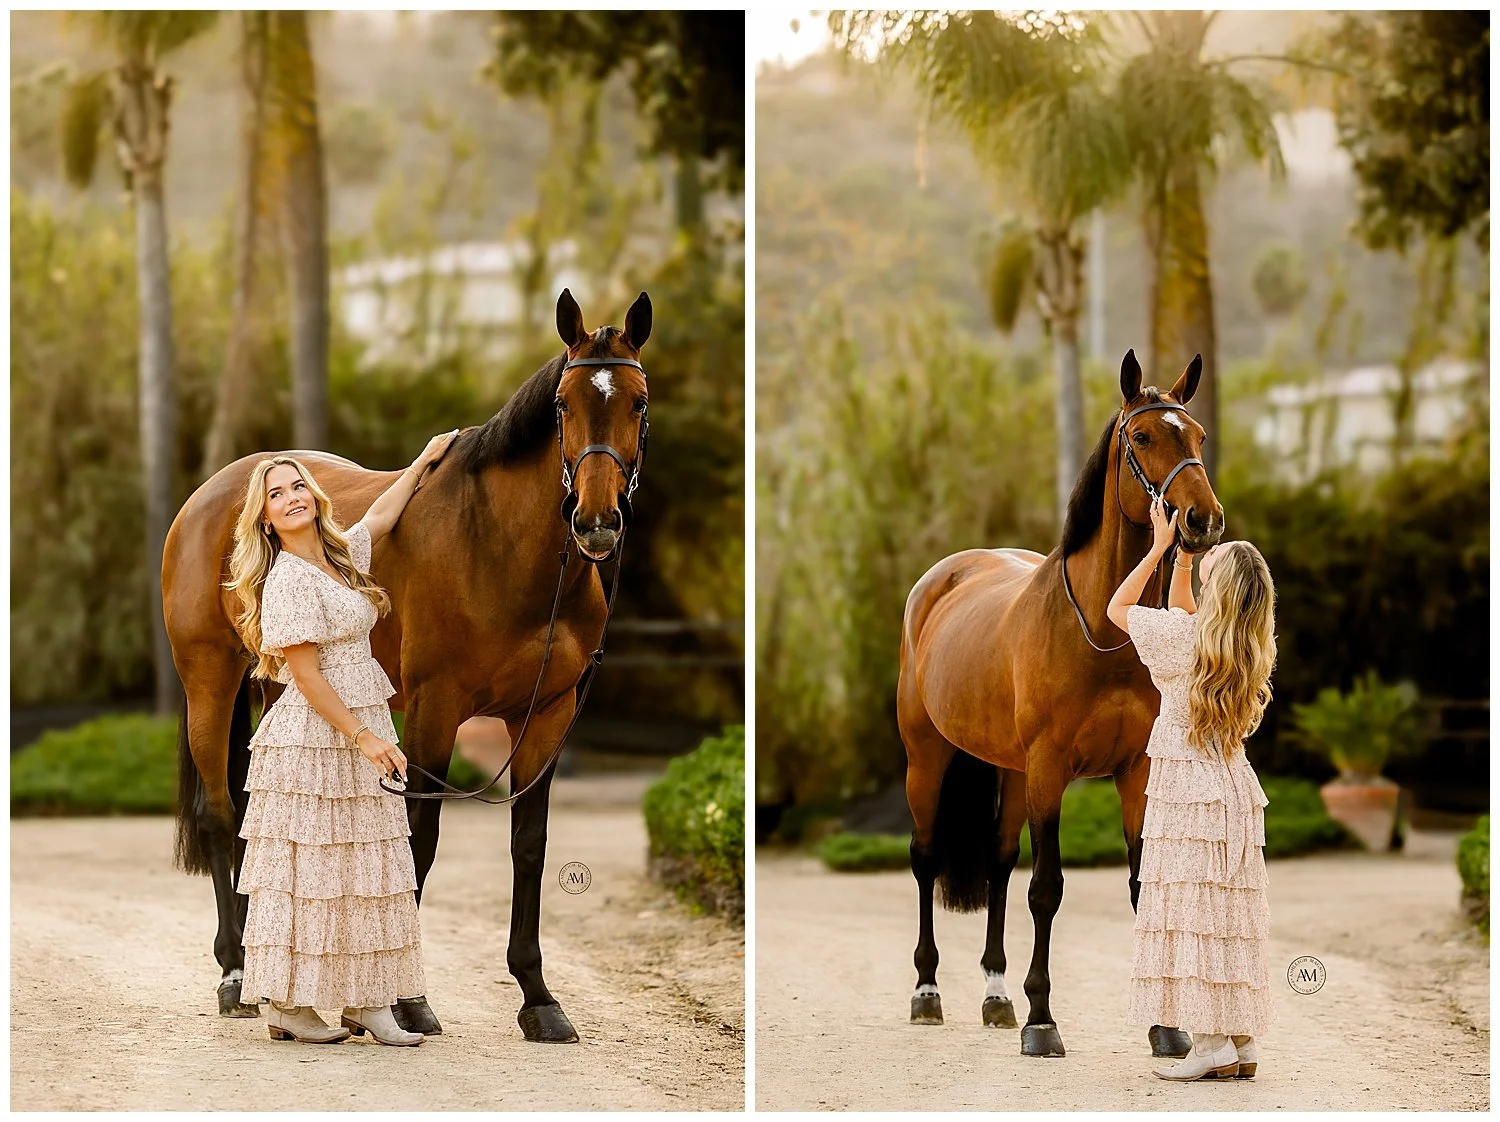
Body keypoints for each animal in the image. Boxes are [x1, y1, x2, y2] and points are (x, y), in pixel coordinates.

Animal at [163, 288, 652, 1043]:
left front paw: (538, 999)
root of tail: (208, 496)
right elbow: (421, 840)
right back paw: (237, 974)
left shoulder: (546, 714)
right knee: (219, 813)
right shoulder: (435, 708)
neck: (498, 545)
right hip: (209, 684)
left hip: (277, 688)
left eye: (637, 402)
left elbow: (530, 844)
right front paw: (405, 1002)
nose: (597, 523)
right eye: (565, 405)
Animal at [896, 350, 1225, 1058]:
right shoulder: (1050, 768)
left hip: (1012, 770)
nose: (1201, 521)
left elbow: (1139, 885)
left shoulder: (1135, 771)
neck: (1105, 628)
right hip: (927, 759)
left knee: (997, 864)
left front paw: (1164, 1027)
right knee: (926, 857)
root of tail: (941, 578)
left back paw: (995, 996)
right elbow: (1046, 889)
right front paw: (1042, 1020)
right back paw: (928, 992)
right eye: (1142, 437)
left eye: (1197, 435)